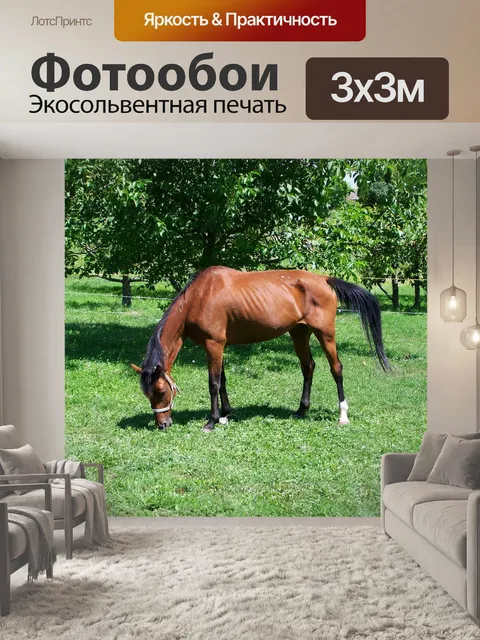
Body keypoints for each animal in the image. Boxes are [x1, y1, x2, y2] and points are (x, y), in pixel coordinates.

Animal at [131, 266, 391, 432]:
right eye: (147, 394)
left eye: (161, 391)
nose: (162, 425)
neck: (200, 296)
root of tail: (324, 279)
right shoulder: (218, 345)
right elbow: (222, 381)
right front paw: (225, 415)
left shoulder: (214, 344)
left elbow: (213, 383)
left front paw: (212, 421)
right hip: (299, 333)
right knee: (308, 367)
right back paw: (301, 410)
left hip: (325, 334)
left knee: (336, 369)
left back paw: (342, 415)